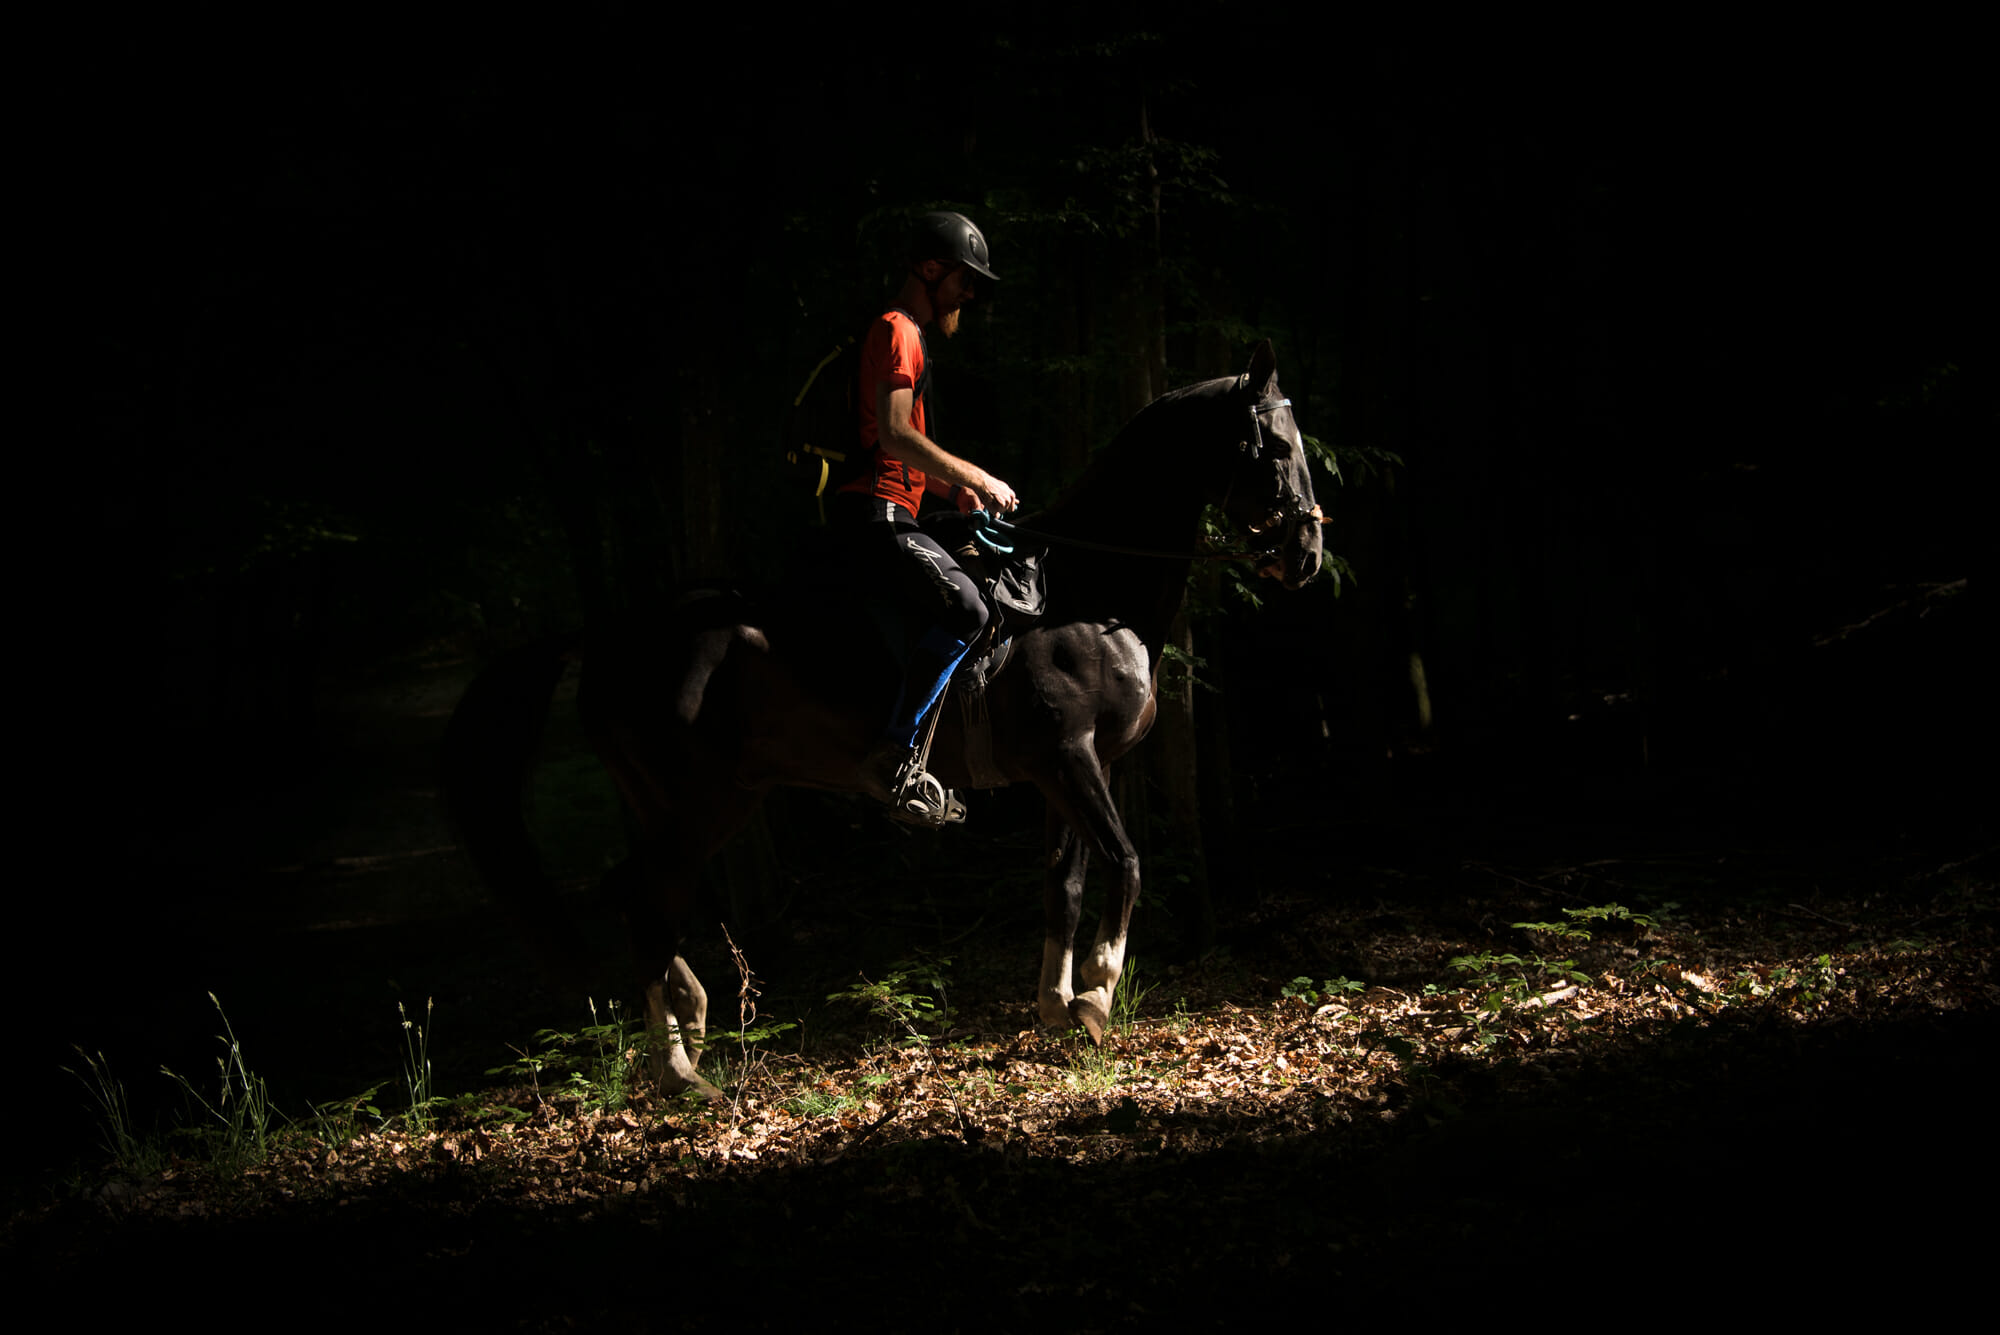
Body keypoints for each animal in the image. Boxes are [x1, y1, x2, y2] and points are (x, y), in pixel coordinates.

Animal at [444, 339, 1320, 1103]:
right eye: (1275, 446)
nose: (1308, 553)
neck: (1082, 589)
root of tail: (607, 635)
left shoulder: (1072, 769)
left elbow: (1064, 882)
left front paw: (1055, 1006)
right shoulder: (1071, 758)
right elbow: (1126, 862)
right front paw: (1099, 996)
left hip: (694, 803)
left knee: (638, 891)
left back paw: (690, 1017)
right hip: (697, 803)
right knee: (650, 901)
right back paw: (680, 1069)